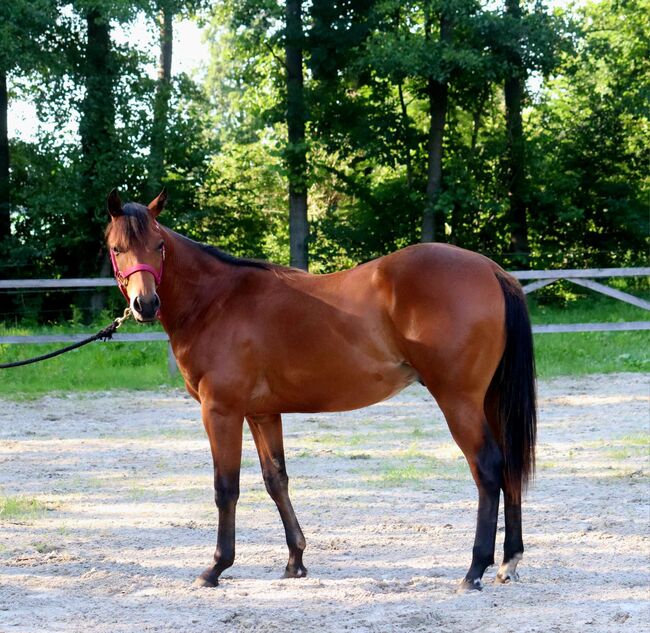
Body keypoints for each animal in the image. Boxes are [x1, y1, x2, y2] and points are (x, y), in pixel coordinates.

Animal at [104, 189, 536, 592]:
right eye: (116, 248)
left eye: (159, 245)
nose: (145, 304)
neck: (215, 301)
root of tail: (491, 270)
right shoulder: (262, 413)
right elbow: (275, 480)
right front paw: (295, 561)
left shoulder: (220, 411)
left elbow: (226, 488)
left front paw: (215, 568)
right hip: (490, 401)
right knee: (509, 466)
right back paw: (508, 561)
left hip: (459, 401)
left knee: (488, 469)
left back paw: (474, 570)